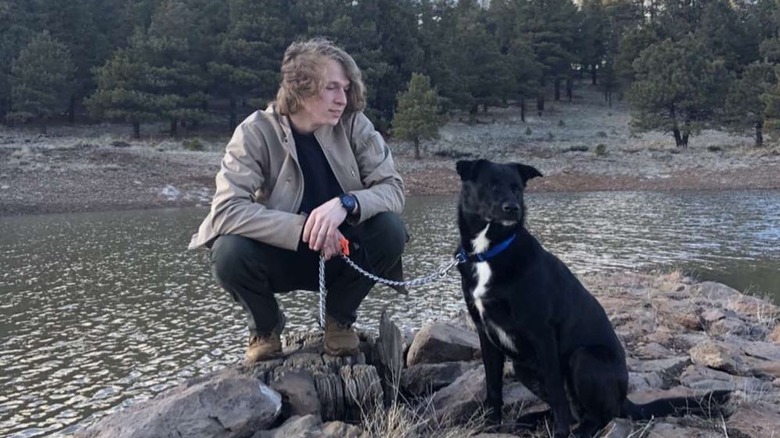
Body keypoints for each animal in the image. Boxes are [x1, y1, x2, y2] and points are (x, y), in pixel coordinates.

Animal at [454, 160, 728, 438]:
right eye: (491, 185)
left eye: (517, 188)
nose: (513, 208)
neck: (488, 253)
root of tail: (623, 398)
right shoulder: (485, 333)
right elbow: (493, 387)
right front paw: (490, 426)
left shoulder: (542, 334)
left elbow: (556, 392)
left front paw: (560, 433)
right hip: (524, 367)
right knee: (570, 408)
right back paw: (533, 419)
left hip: (583, 358)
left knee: (596, 415)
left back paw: (575, 430)